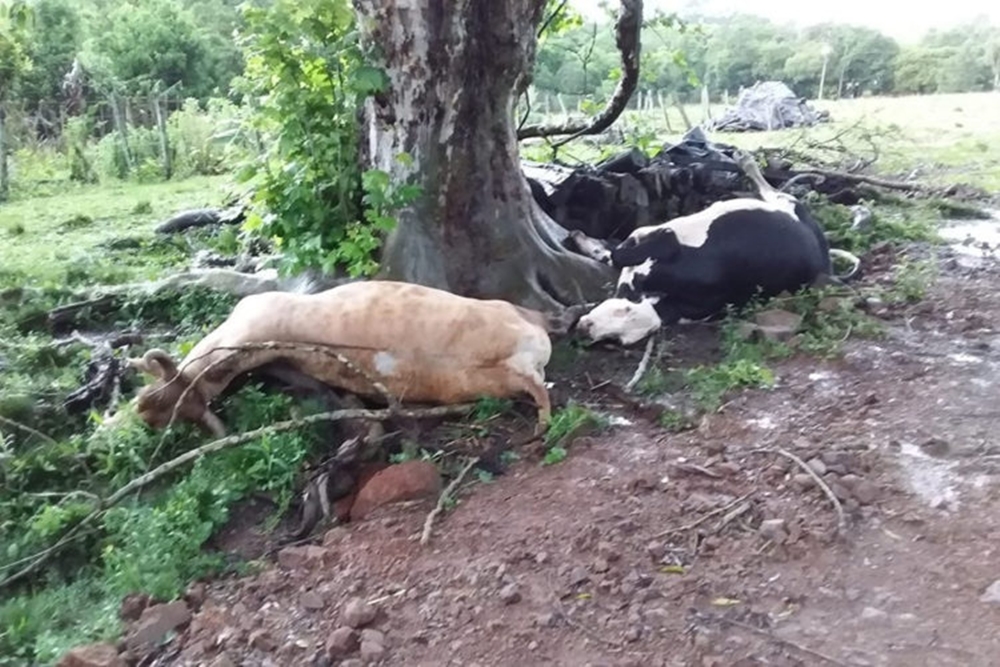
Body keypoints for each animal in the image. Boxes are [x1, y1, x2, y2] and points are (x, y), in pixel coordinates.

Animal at [576, 155, 864, 348]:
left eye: (623, 316)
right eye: (616, 338)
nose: (585, 329)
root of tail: (823, 255)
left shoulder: (665, 236)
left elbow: (618, 254)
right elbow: (614, 254)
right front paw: (587, 242)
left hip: (788, 203)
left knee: (771, 189)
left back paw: (746, 161)